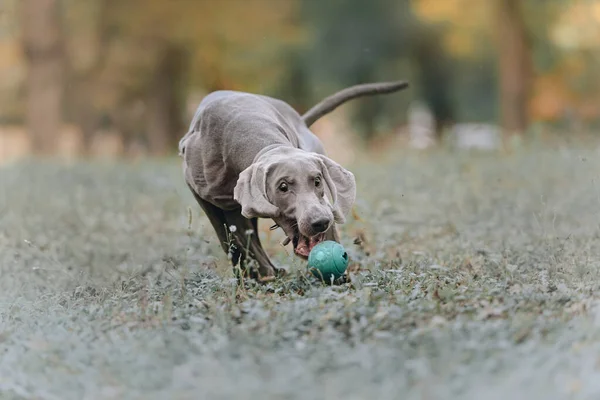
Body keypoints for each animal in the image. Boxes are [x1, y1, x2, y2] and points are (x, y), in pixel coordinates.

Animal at [178, 80, 408, 282]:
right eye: (283, 186)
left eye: (317, 181)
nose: (320, 222)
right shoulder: (214, 198)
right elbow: (238, 238)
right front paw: (262, 273)